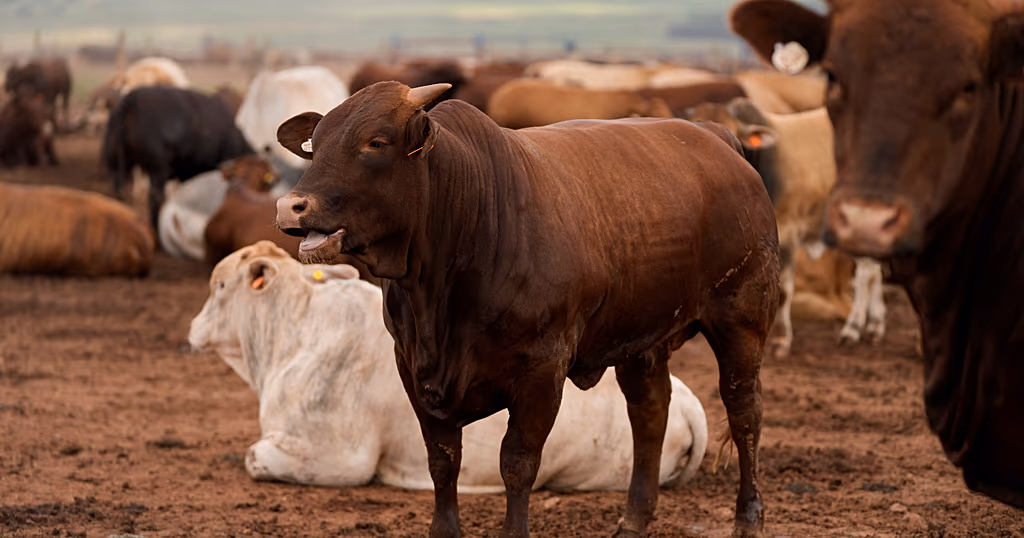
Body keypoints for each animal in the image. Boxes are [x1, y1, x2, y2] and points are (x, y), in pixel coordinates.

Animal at [189, 241, 708, 490]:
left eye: (218, 286)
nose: (192, 328)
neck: (290, 334)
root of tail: (688, 403)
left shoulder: (340, 457)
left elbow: (255, 456)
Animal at [685, 99, 887, 354]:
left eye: (733, 136)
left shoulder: (787, 230)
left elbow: (783, 291)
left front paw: (781, 339)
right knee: (875, 271)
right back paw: (875, 325)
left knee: (866, 273)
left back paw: (853, 328)